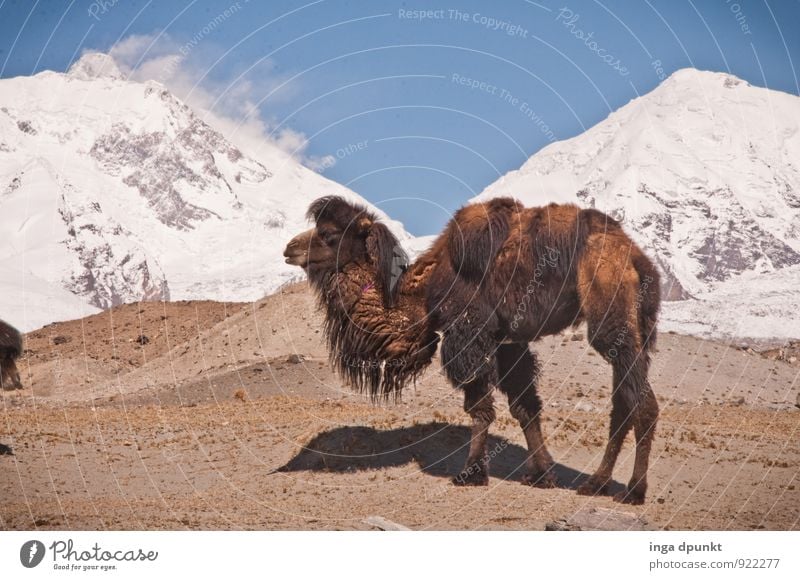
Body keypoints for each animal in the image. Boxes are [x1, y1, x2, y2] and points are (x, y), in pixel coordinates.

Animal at [284, 196, 660, 502]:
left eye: (329, 234)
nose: (290, 248)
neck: (423, 296)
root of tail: (637, 258)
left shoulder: (468, 333)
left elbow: (479, 409)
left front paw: (470, 474)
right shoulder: (508, 341)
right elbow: (525, 407)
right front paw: (541, 474)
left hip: (610, 312)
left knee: (639, 403)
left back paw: (628, 490)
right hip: (635, 326)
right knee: (629, 402)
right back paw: (602, 483)